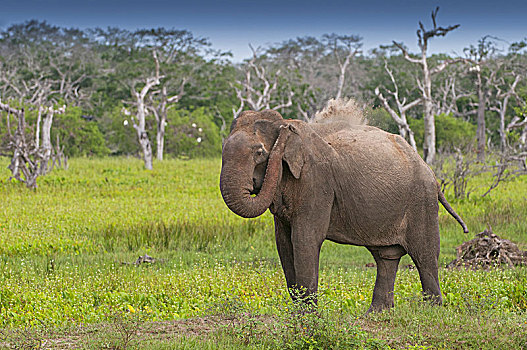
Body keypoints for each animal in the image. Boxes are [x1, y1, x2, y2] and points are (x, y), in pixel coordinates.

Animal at [220, 109, 470, 312]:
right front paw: (298, 314)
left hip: (421, 201)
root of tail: (432, 174)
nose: (285, 129)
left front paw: (308, 318)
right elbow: (284, 243)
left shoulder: (317, 182)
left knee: (424, 254)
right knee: (386, 256)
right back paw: (376, 314)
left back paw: (431, 310)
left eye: (259, 153)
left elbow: (304, 238)